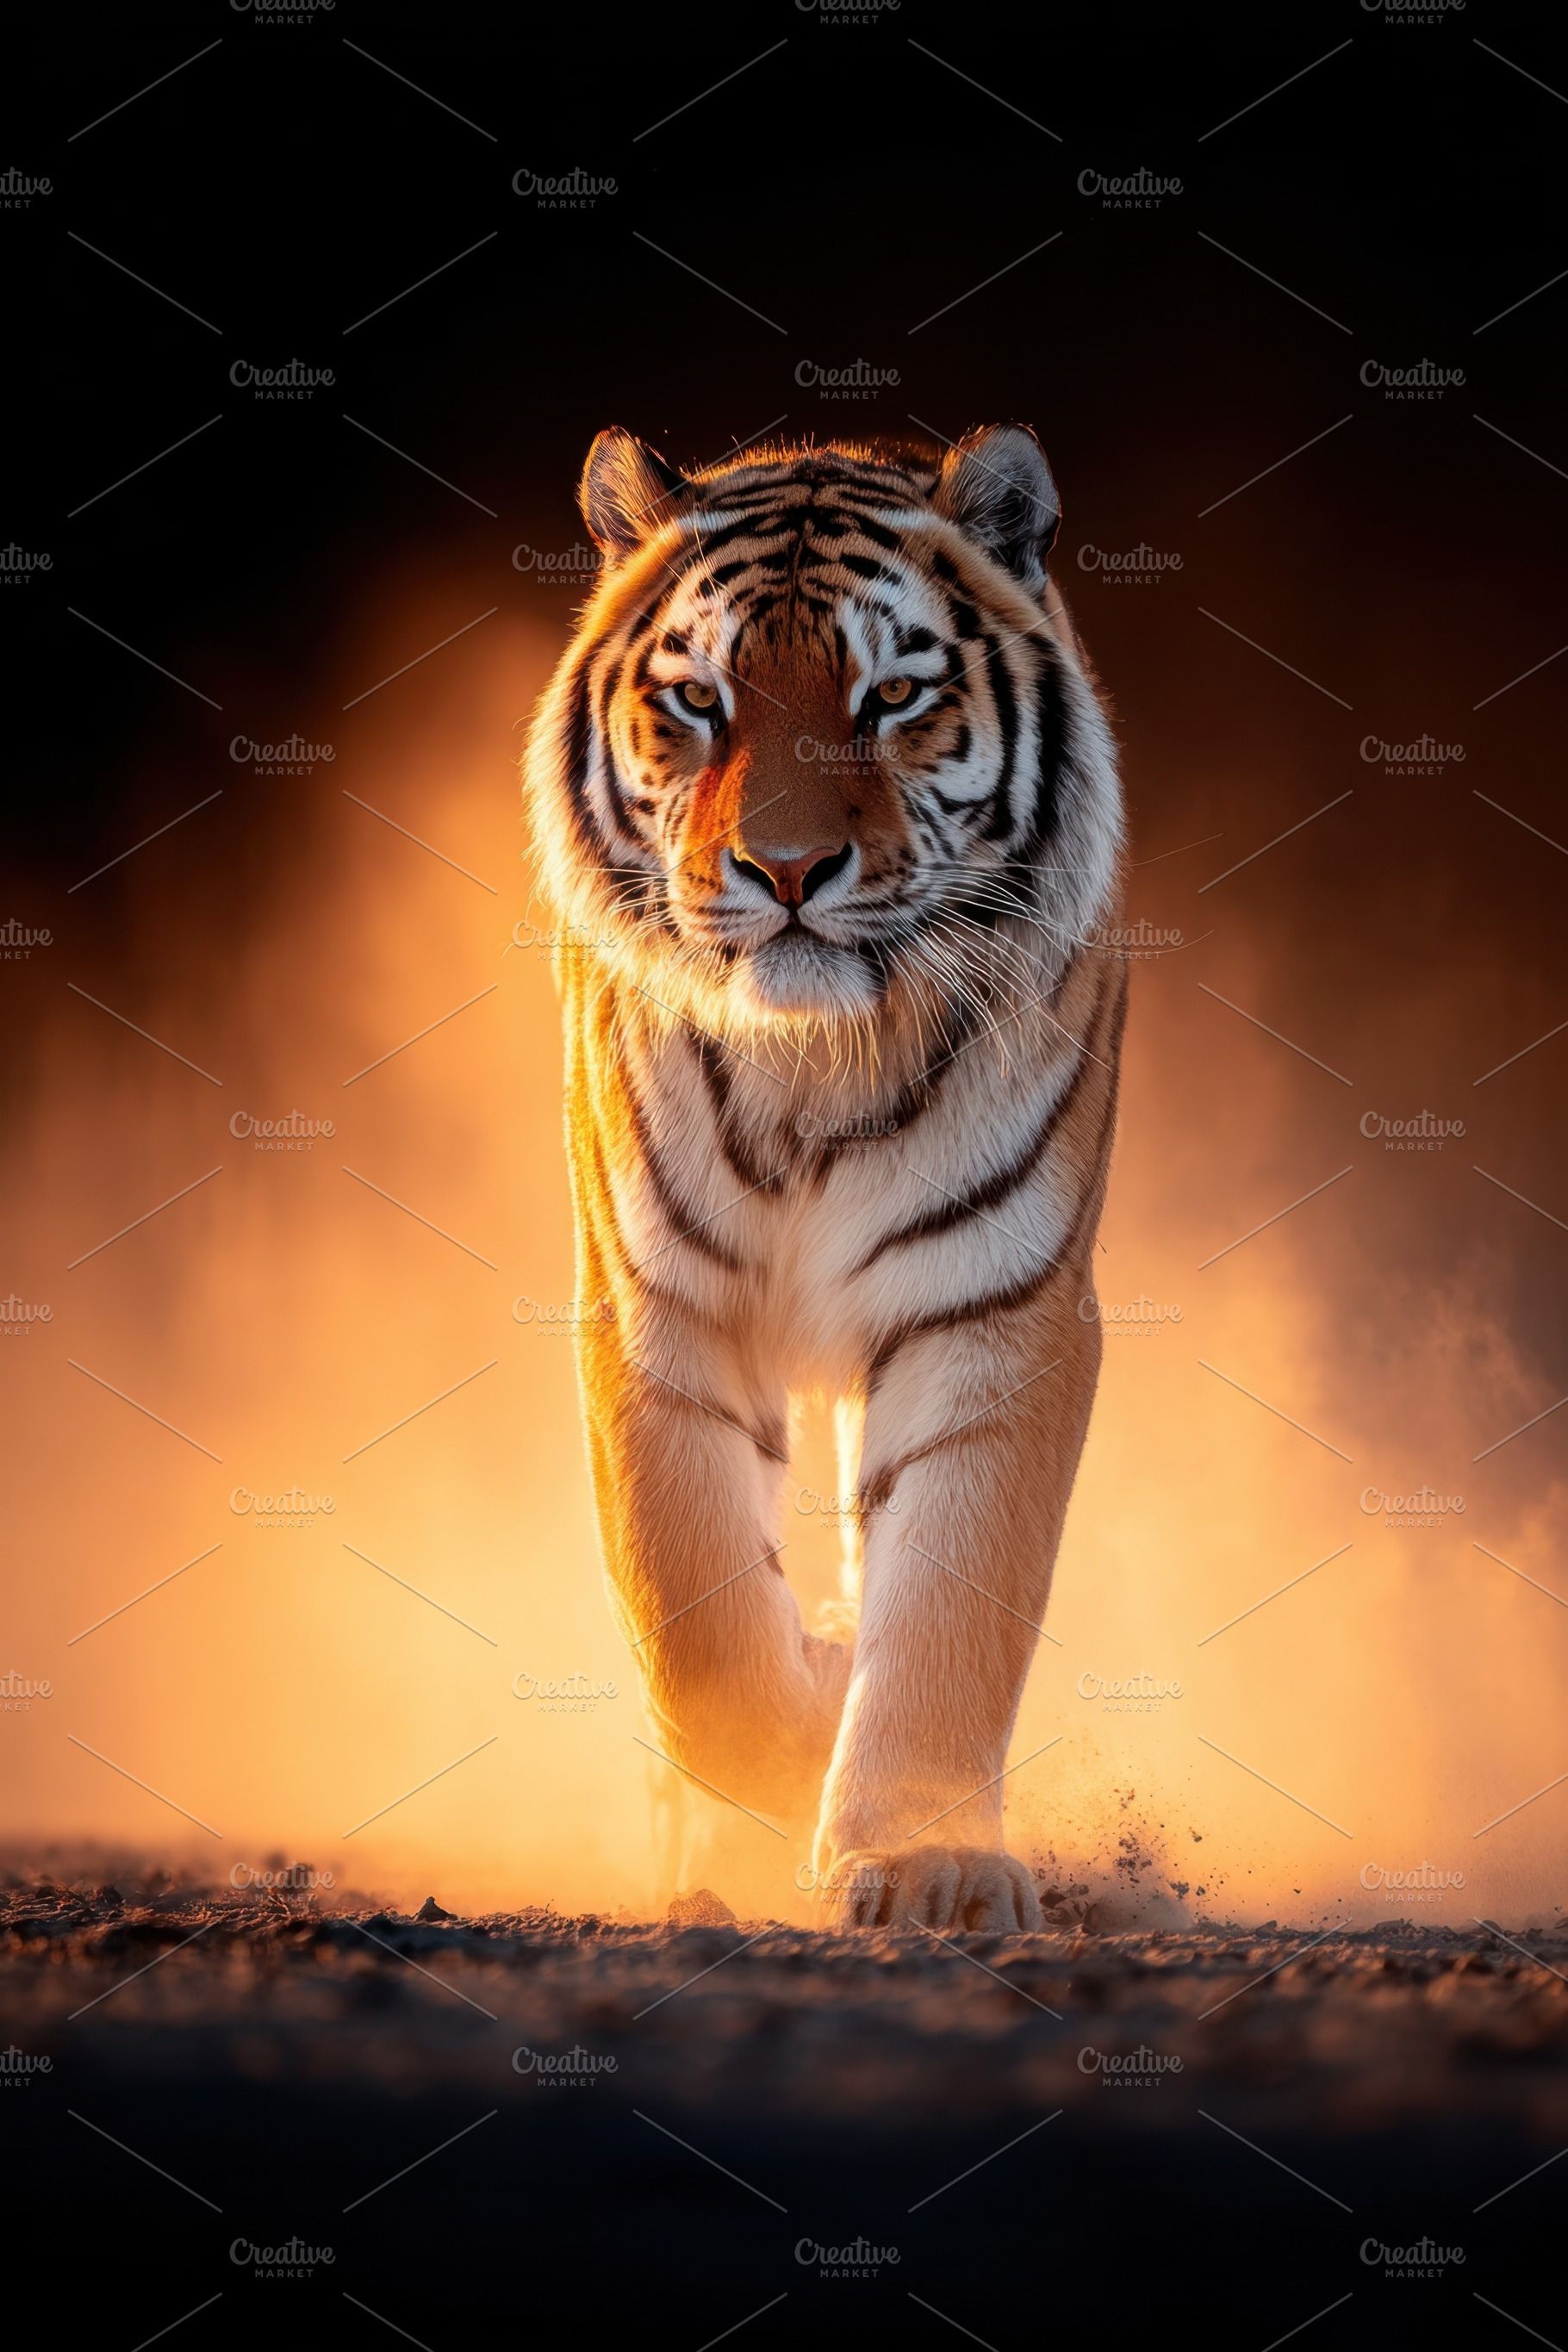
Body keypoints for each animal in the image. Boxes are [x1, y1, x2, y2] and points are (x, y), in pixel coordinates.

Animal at [524, 422, 1126, 1931]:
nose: (787, 868)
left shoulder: (993, 1310)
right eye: (698, 698)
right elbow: (697, 1624)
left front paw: (920, 1859)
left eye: (892, 694)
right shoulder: (655, 1306)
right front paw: (802, 1732)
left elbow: (952, 1607)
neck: (814, 1067)